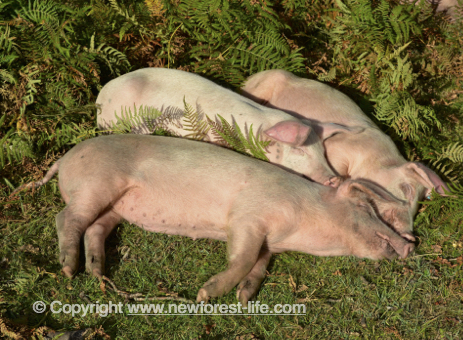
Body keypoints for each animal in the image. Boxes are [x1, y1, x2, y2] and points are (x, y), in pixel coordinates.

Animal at [14, 134, 416, 304]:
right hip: (96, 185)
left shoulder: (269, 242)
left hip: (113, 208)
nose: (409, 245)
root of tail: (64, 159)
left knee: (94, 228)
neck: (297, 229)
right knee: (66, 217)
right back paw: (69, 270)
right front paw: (206, 296)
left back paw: (98, 275)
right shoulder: (248, 217)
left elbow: (259, 264)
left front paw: (244, 297)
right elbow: (243, 257)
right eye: (367, 209)